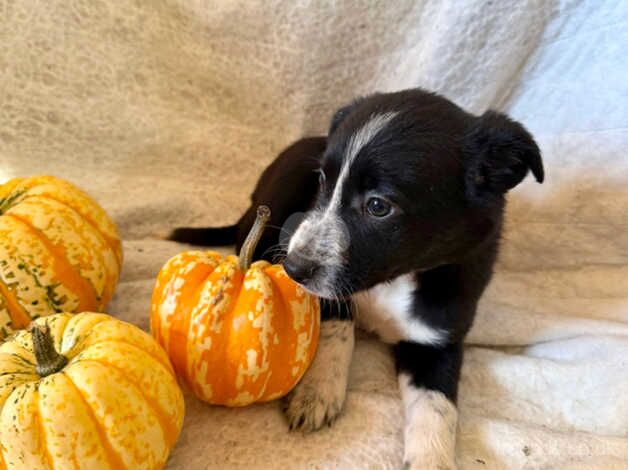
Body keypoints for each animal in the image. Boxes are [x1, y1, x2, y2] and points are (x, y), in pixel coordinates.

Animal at [169, 89, 544, 470]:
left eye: (378, 206)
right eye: (322, 181)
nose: (293, 268)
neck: (393, 282)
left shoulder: (439, 338)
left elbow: (437, 405)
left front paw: (432, 460)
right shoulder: (325, 293)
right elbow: (337, 330)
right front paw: (316, 393)